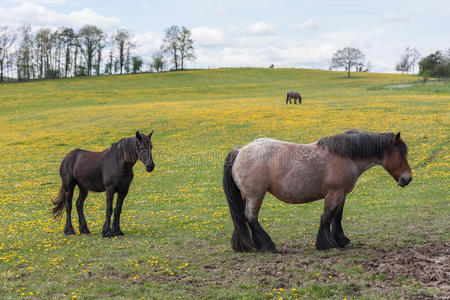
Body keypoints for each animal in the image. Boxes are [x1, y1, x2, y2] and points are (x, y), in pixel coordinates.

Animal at [221, 130, 412, 252]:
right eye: (401, 154)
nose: (408, 178)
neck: (346, 156)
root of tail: (239, 152)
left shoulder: (342, 194)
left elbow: (337, 217)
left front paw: (341, 240)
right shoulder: (334, 194)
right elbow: (326, 216)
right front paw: (325, 244)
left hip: (246, 196)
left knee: (241, 218)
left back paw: (243, 245)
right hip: (255, 196)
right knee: (251, 218)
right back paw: (267, 245)